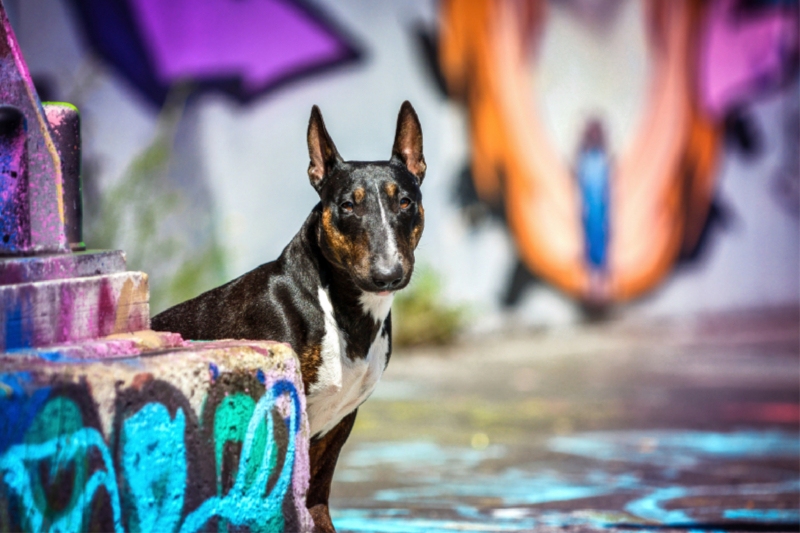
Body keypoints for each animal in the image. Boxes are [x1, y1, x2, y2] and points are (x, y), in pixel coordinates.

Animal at [151, 102, 424, 528]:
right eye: (348, 206)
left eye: (405, 202)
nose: (388, 274)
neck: (342, 309)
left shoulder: (339, 424)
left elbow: (316, 501)